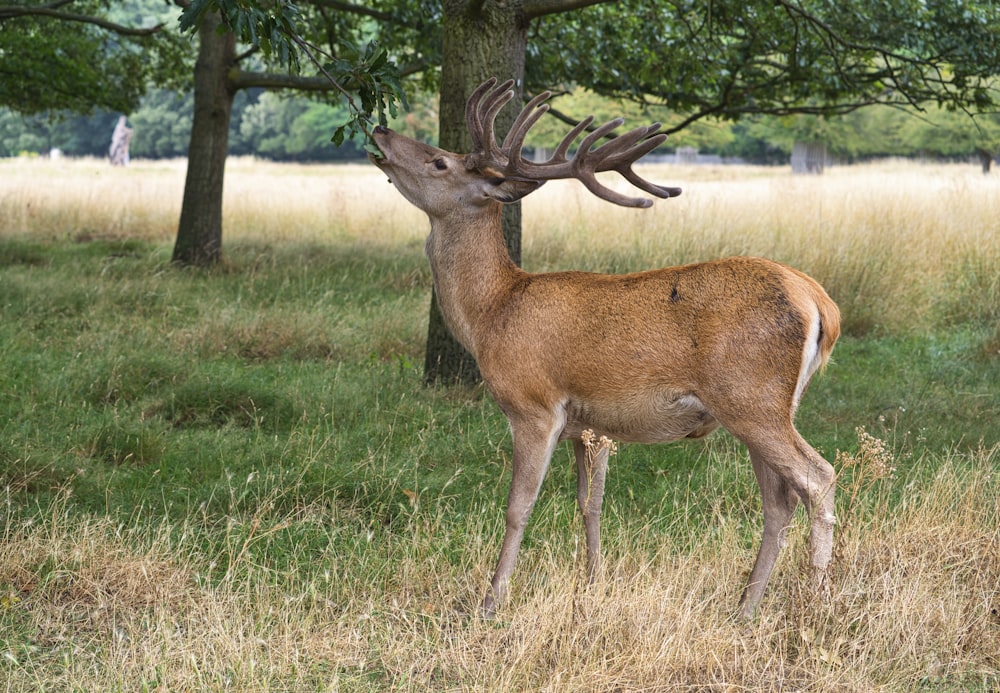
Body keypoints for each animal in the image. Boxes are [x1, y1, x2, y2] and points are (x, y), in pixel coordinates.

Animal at [368, 75, 836, 616]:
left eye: (440, 161)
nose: (380, 130)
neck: (494, 313)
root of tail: (820, 303)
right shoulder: (590, 426)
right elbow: (590, 504)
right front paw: (591, 584)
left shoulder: (533, 404)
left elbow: (518, 506)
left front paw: (492, 599)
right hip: (765, 405)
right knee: (779, 500)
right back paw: (745, 607)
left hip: (751, 397)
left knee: (819, 478)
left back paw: (816, 598)